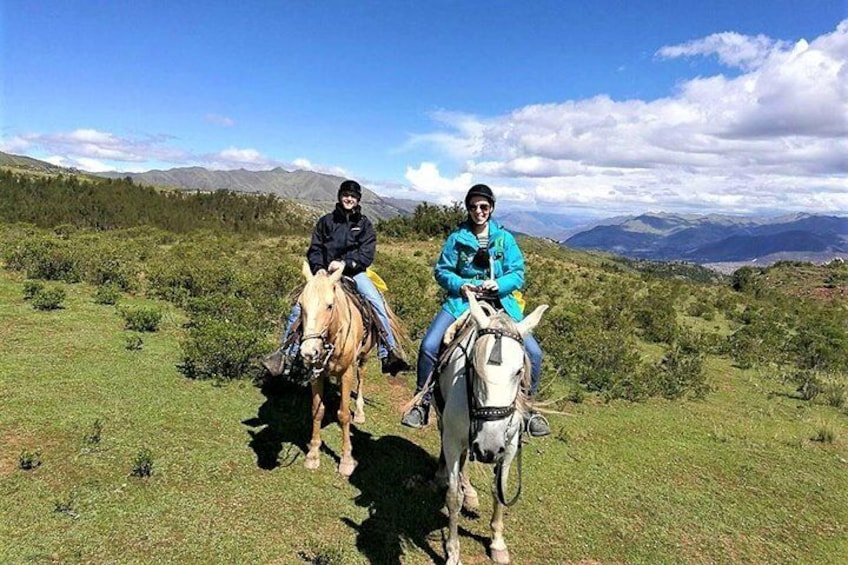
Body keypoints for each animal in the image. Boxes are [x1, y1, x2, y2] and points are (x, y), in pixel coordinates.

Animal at [296, 262, 406, 476]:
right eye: (301, 305)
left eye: (329, 306)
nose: (308, 352)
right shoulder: (317, 375)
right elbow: (317, 410)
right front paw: (313, 455)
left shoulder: (346, 373)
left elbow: (344, 414)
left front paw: (346, 460)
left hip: (363, 357)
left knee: (361, 378)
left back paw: (360, 412)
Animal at [438, 290, 548, 564]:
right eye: (475, 368)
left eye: (519, 371)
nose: (488, 448)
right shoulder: (453, 441)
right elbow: (452, 497)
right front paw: (453, 551)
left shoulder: (508, 447)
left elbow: (500, 491)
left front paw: (497, 543)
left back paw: (470, 493)